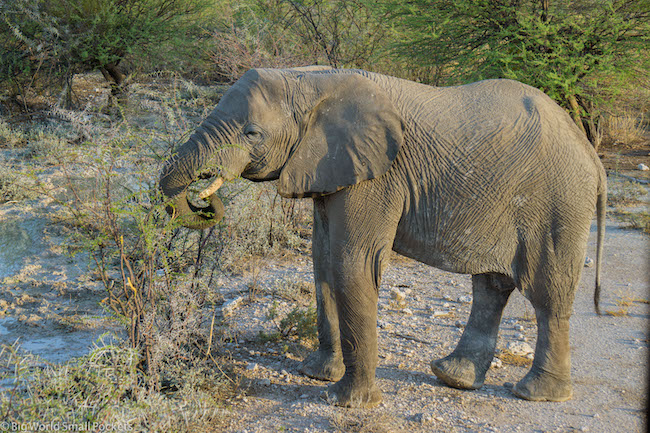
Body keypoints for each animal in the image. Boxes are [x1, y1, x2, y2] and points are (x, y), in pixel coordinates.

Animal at [159, 67, 604, 408]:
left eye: (252, 133)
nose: (204, 198)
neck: (311, 80)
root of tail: (592, 154)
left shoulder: (377, 177)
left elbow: (351, 262)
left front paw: (346, 402)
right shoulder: (332, 168)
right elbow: (322, 260)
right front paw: (317, 374)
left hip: (559, 201)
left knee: (548, 292)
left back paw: (536, 394)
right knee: (491, 287)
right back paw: (453, 376)